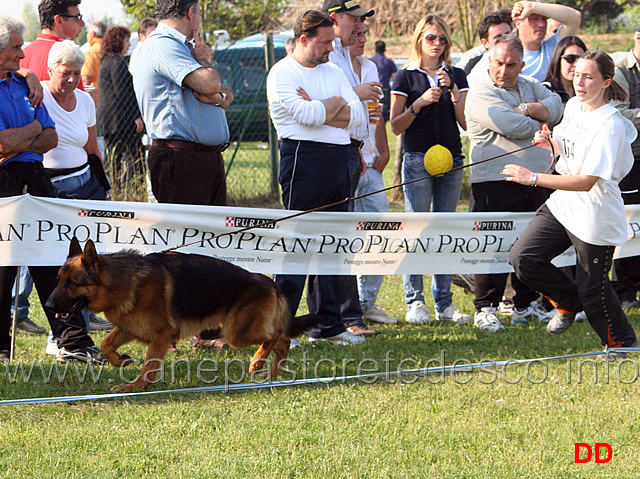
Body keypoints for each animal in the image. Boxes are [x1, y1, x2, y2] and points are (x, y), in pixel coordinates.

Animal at [46, 238, 320, 392]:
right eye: (58, 280)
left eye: (71, 284)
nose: (47, 305)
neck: (122, 281)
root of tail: (268, 282)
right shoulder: (130, 327)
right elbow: (106, 344)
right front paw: (121, 361)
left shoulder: (161, 335)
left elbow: (149, 366)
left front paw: (136, 386)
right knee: (283, 340)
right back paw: (272, 374)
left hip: (236, 332)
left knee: (277, 335)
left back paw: (258, 361)